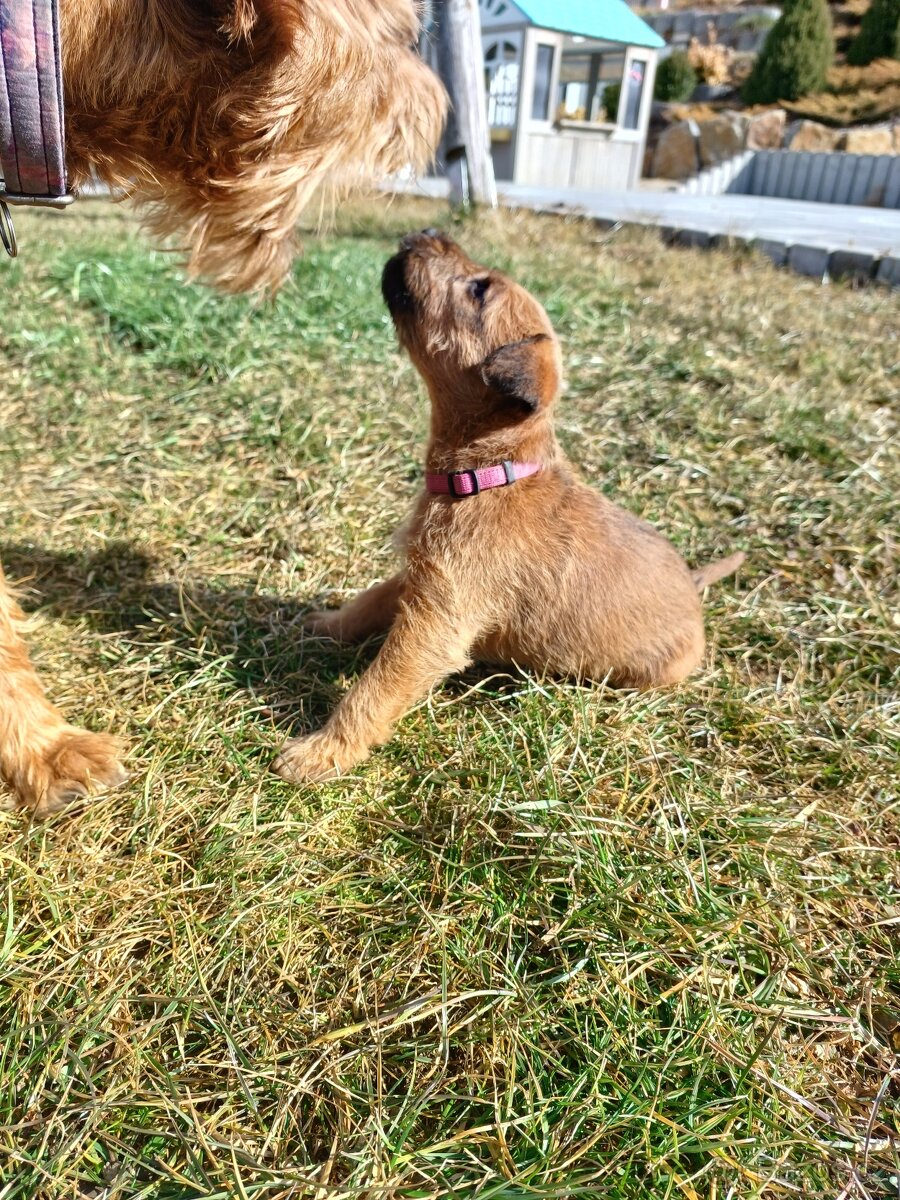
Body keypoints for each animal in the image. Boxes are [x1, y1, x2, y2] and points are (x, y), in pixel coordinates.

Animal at [277, 229, 748, 782]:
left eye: (480, 289)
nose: (424, 233)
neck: (488, 476)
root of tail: (695, 589)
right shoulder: (421, 577)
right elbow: (367, 602)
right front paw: (325, 625)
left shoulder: (438, 620)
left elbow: (376, 688)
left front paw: (321, 752)